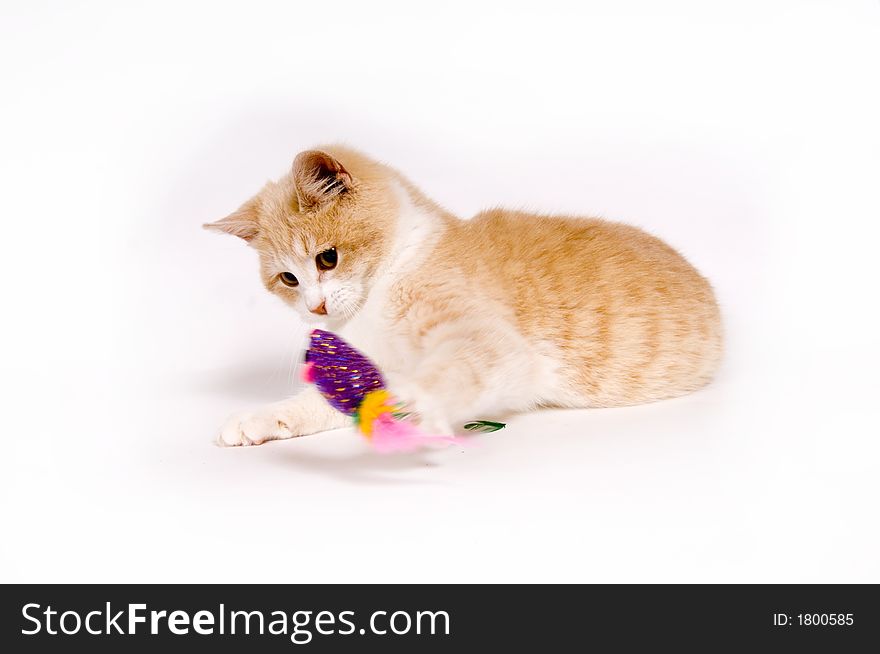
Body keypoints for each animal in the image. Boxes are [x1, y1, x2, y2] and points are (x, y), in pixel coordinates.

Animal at [206, 147, 720, 448]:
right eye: (288, 279)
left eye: (327, 258)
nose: (316, 306)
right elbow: (322, 401)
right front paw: (263, 418)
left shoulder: (491, 340)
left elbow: (457, 368)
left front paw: (415, 402)